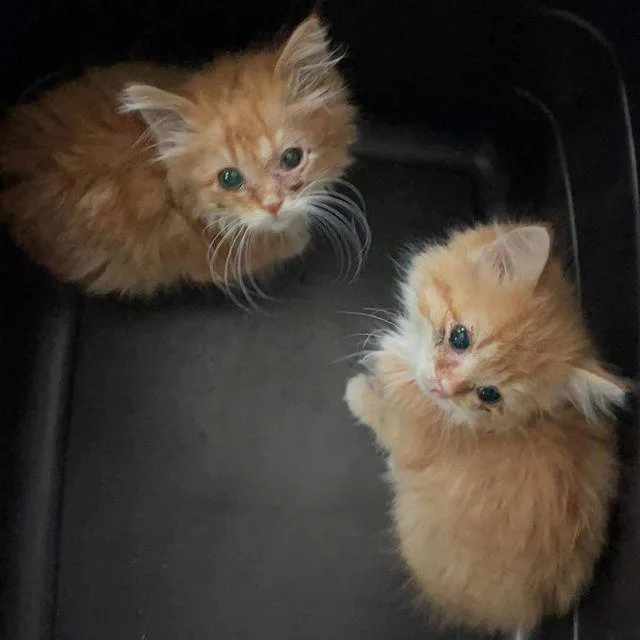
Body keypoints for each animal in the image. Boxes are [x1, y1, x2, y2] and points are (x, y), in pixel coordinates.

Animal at [342, 222, 628, 632]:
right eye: (460, 337)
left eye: (489, 394)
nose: (443, 387)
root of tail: (528, 613)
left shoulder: (404, 434)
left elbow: (378, 413)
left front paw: (358, 391)